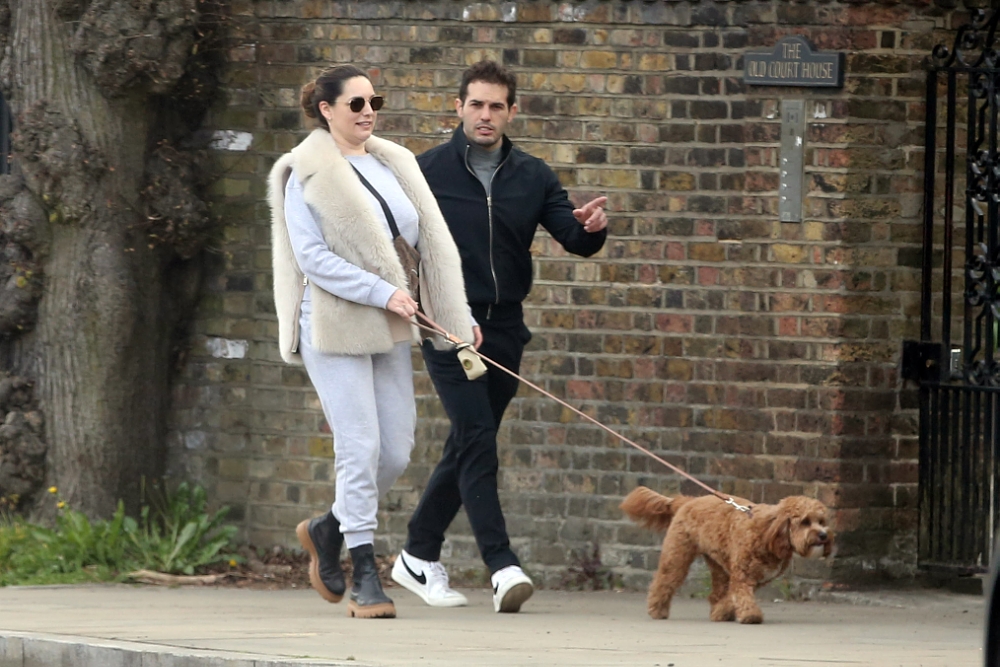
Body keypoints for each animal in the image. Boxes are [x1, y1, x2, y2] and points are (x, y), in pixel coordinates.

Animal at [620, 487, 833, 624]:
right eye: (805, 522)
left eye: (822, 521)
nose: (824, 535)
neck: (767, 532)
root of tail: (689, 501)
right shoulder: (742, 575)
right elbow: (739, 595)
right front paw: (750, 616)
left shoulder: (751, 578)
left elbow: (731, 597)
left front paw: (722, 612)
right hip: (677, 556)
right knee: (663, 582)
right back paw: (657, 610)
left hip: (718, 566)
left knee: (715, 594)